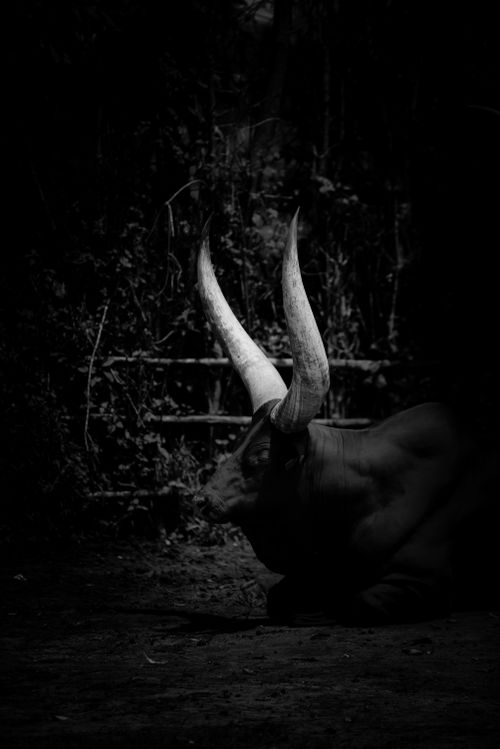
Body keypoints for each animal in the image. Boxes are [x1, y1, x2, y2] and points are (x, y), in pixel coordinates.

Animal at [194, 210, 499, 625]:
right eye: (239, 441)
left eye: (261, 456)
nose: (203, 500)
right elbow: (278, 597)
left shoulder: (424, 580)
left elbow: (356, 604)